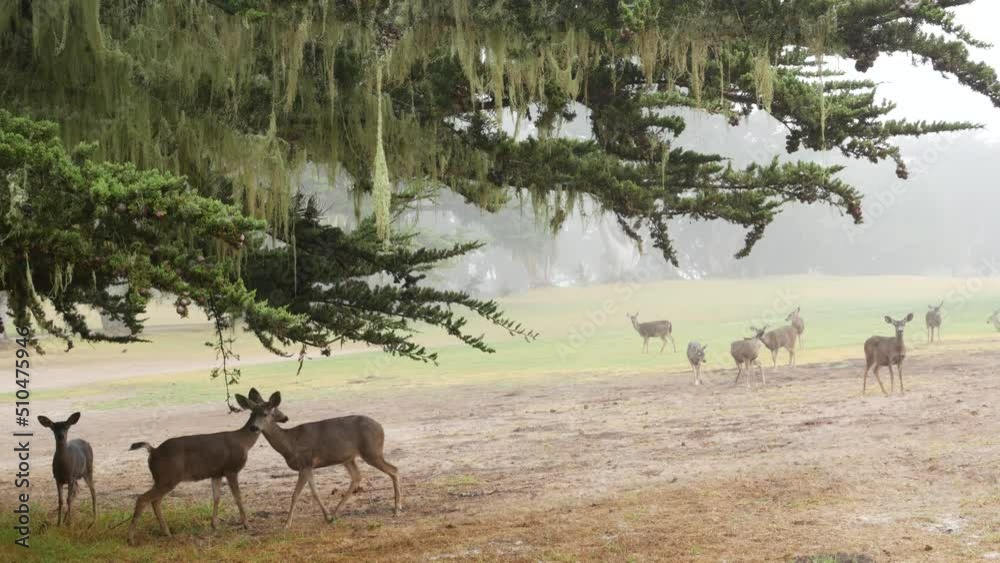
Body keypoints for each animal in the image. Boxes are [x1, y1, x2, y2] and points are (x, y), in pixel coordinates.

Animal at [126, 399, 262, 544]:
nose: (255, 428)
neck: (244, 442)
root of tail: (153, 450)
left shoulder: (217, 473)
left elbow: (216, 497)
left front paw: (214, 525)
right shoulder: (231, 469)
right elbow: (237, 497)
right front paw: (247, 525)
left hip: (162, 479)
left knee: (155, 501)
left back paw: (166, 533)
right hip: (167, 477)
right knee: (143, 499)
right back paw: (131, 539)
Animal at [241, 388, 402, 528]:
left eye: (265, 413)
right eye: (251, 414)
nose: (253, 428)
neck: (290, 443)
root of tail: (381, 427)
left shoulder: (305, 462)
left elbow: (295, 494)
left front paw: (286, 525)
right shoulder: (309, 467)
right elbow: (315, 492)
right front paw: (327, 517)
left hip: (372, 451)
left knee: (394, 469)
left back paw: (397, 509)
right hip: (349, 458)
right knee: (357, 476)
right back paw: (336, 513)